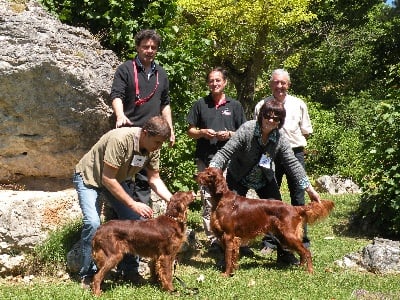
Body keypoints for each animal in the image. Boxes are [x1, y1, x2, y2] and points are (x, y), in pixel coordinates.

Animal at [195, 168, 332, 276]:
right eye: (205, 169)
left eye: (209, 174)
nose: (195, 175)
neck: (220, 200)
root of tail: (294, 208)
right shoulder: (224, 237)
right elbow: (229, 256)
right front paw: (231, 270)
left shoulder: (229, 236)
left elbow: (228, 257)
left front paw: (226, 274)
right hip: (283, 236)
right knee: (302, 251)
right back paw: (300, 267)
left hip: (288, 235)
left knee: (306, 251)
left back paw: (310, 271)